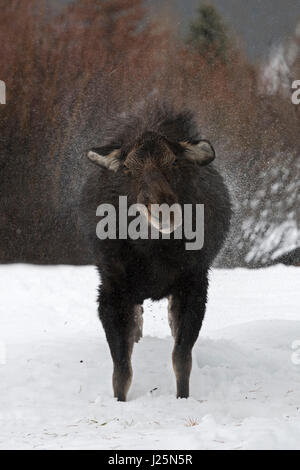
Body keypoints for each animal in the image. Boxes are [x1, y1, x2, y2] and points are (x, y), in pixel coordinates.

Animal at [78, 104, 231, 402]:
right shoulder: (112, 290)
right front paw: (119, 403)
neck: (153, 255)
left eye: (174, 162)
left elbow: (181, 359)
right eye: (127, 168)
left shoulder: (193, 284)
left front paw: (183, 398)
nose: (163, 209)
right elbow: (121, 369)